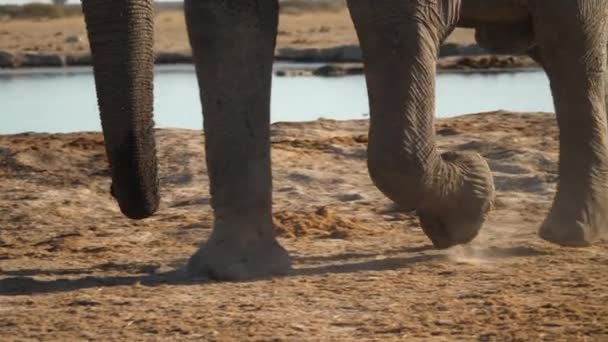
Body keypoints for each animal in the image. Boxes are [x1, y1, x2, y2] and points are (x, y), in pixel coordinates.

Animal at [81, 0, 608, 280]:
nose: (130, 195)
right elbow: (226, 27)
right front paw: (235, 271)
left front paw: (464, 210)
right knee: (552, 52)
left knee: (569, 46)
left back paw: (567, 234)